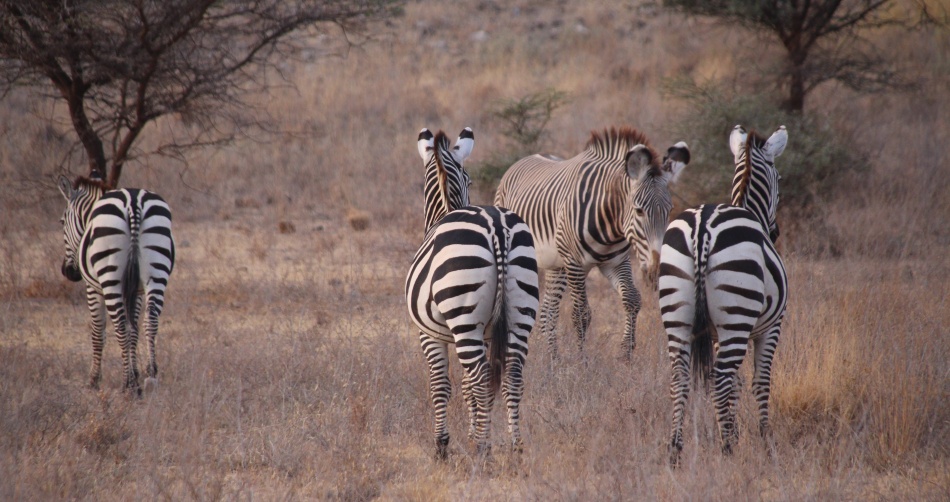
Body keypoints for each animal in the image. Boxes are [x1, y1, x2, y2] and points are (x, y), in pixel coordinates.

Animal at [57, 173, 175, 395]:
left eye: (61, 222)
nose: (68, 272)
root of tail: (134, 201)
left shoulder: (93, 288)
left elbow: (98, 331)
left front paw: (94, 380)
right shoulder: (137, 291)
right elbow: (134, 329)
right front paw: (136, 373)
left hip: (109, 275)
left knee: (120, 325)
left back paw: (127, 386)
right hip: (156, 271)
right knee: (150, 321)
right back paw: (151, 376)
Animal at [405, 127, 539, 459]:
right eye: (470, 179)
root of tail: (496, 226)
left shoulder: (429, 334)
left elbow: (441, 385)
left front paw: (443, 444)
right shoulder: (487, 333)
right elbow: (468, 388)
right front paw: (471, 432)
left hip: (463, 316)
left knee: (481, 379)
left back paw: (483, 449)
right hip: (520, 313)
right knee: (512, 375)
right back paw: (515, 447)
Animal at [494, 127, 690, 359]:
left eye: (670, 211)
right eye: (639, 211)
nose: (657, 269)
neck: (610, 227)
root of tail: (523, 159)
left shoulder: (616, 262)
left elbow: (632, 300)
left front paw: (626, 354)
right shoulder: (575, 263)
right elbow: (581, 314)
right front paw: (582, 363)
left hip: (556, 265)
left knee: (548, 312)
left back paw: (552, 360)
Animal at [659, 125, 788, 465]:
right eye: (780, 180)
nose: (775, 233)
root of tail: (702, 226)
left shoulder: (715, 334)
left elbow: (736, 386)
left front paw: (731, 428)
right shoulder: (771, 326)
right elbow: (760, 382)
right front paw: (764, 441)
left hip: (677, 315)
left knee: (680, 378)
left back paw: (675, 449)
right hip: (737, 317)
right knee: (720, 381)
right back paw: (726, 448)